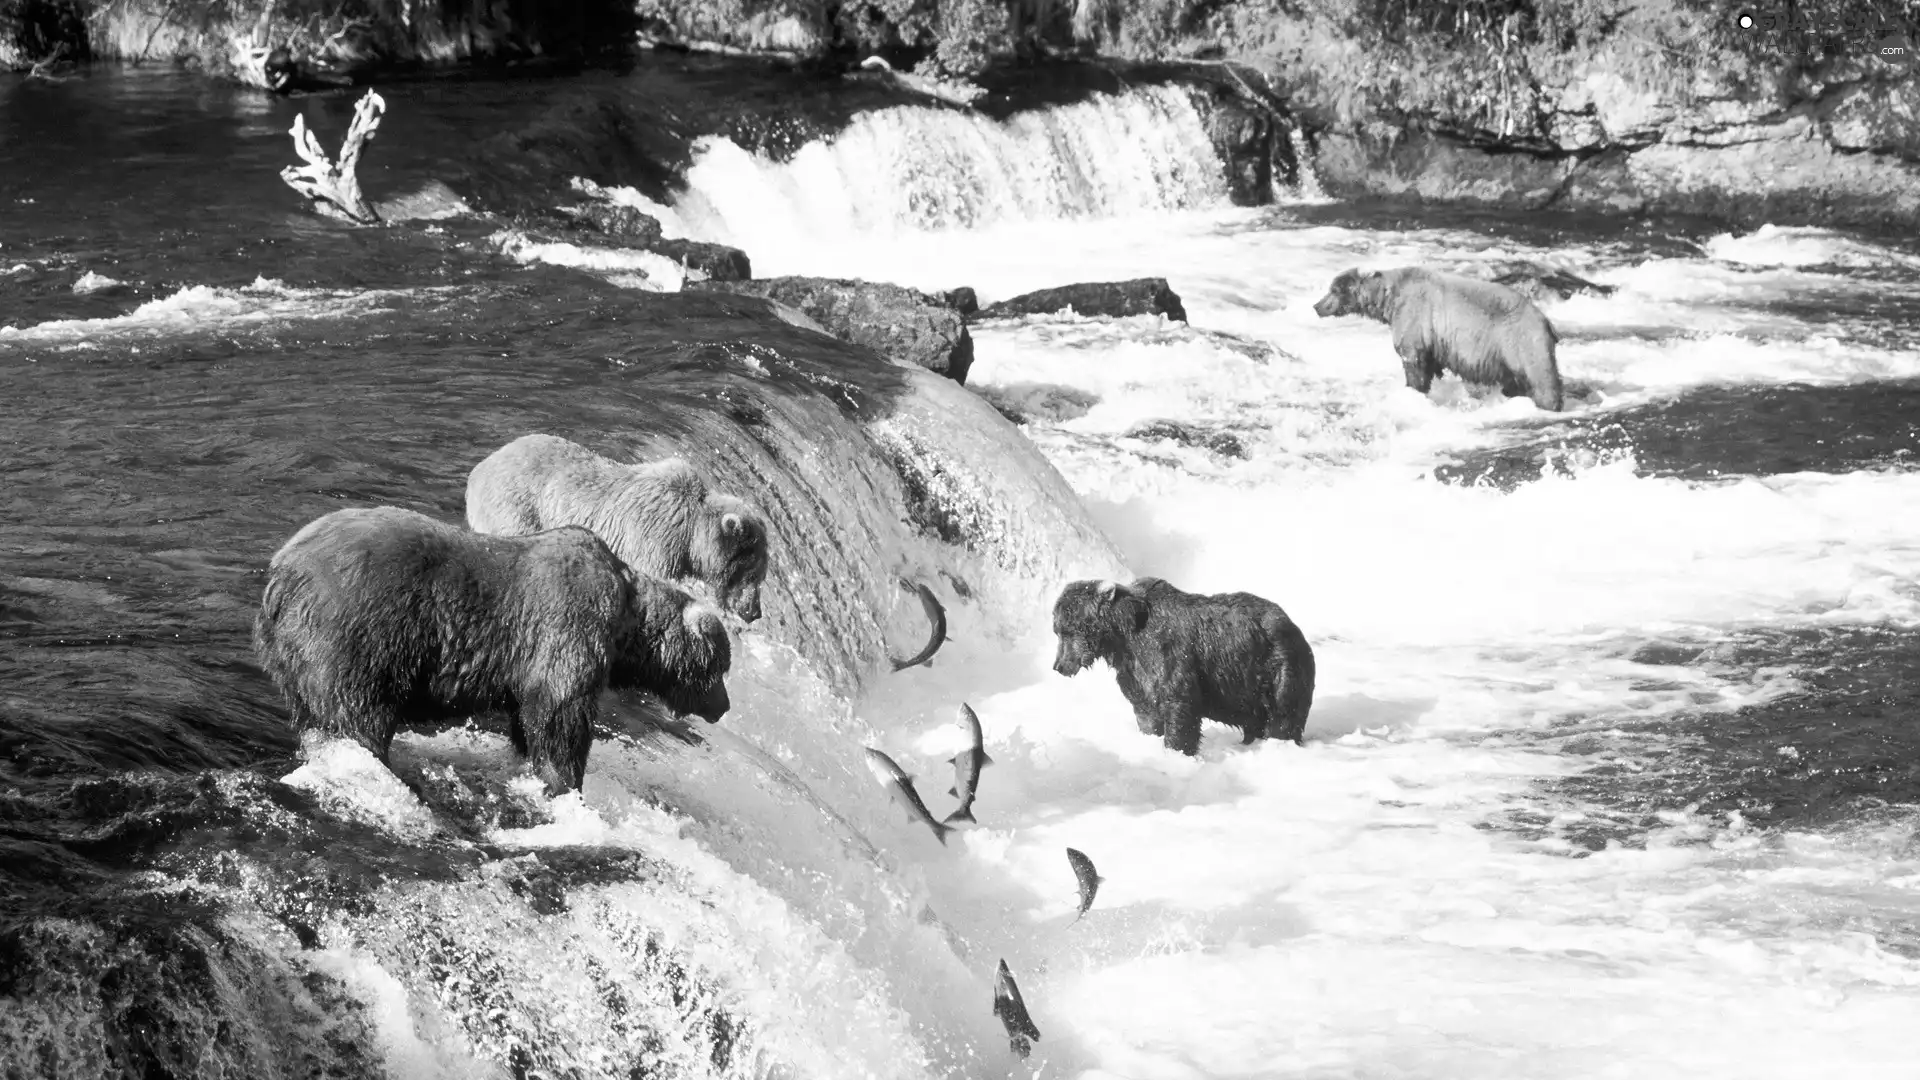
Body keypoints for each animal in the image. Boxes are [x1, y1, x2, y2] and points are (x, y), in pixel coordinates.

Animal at [251, 503, 729, 791]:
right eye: (721, 667)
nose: (723, 707)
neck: (625, 624)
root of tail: (281, 573)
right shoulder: (567, 631)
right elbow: (561, 718)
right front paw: (566, 781)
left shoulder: (529, 667)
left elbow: (529, 718)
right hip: (358, 634)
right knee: (358, 714)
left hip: (291, 655)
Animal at [460, 432, 768, 622]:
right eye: (754, 574)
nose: (756, 612)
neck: (688, 538)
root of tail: (478, 470)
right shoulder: (651, 540)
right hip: (517, 508)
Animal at [1052, 576, 1320, 753]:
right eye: (1058, 630)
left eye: (1066, 630)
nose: (1059, 665)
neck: (1124, 637)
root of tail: (1292, 624)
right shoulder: (1133, 671)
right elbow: (1145, 710)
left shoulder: (1169, 654)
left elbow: (1179, 704)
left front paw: (1176, 748)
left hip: (1277, 666)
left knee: (1283, 715)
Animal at [1313, 265, 1566, 411]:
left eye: (1334, 290)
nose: (1316, 306)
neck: (1388, 299)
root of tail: (1546, 321)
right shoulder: (1433, 338)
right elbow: (1432, 365)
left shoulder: (1414, 316)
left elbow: (1412, 360)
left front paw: (1413, 389)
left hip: (1521, 341)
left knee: (1542, 378)